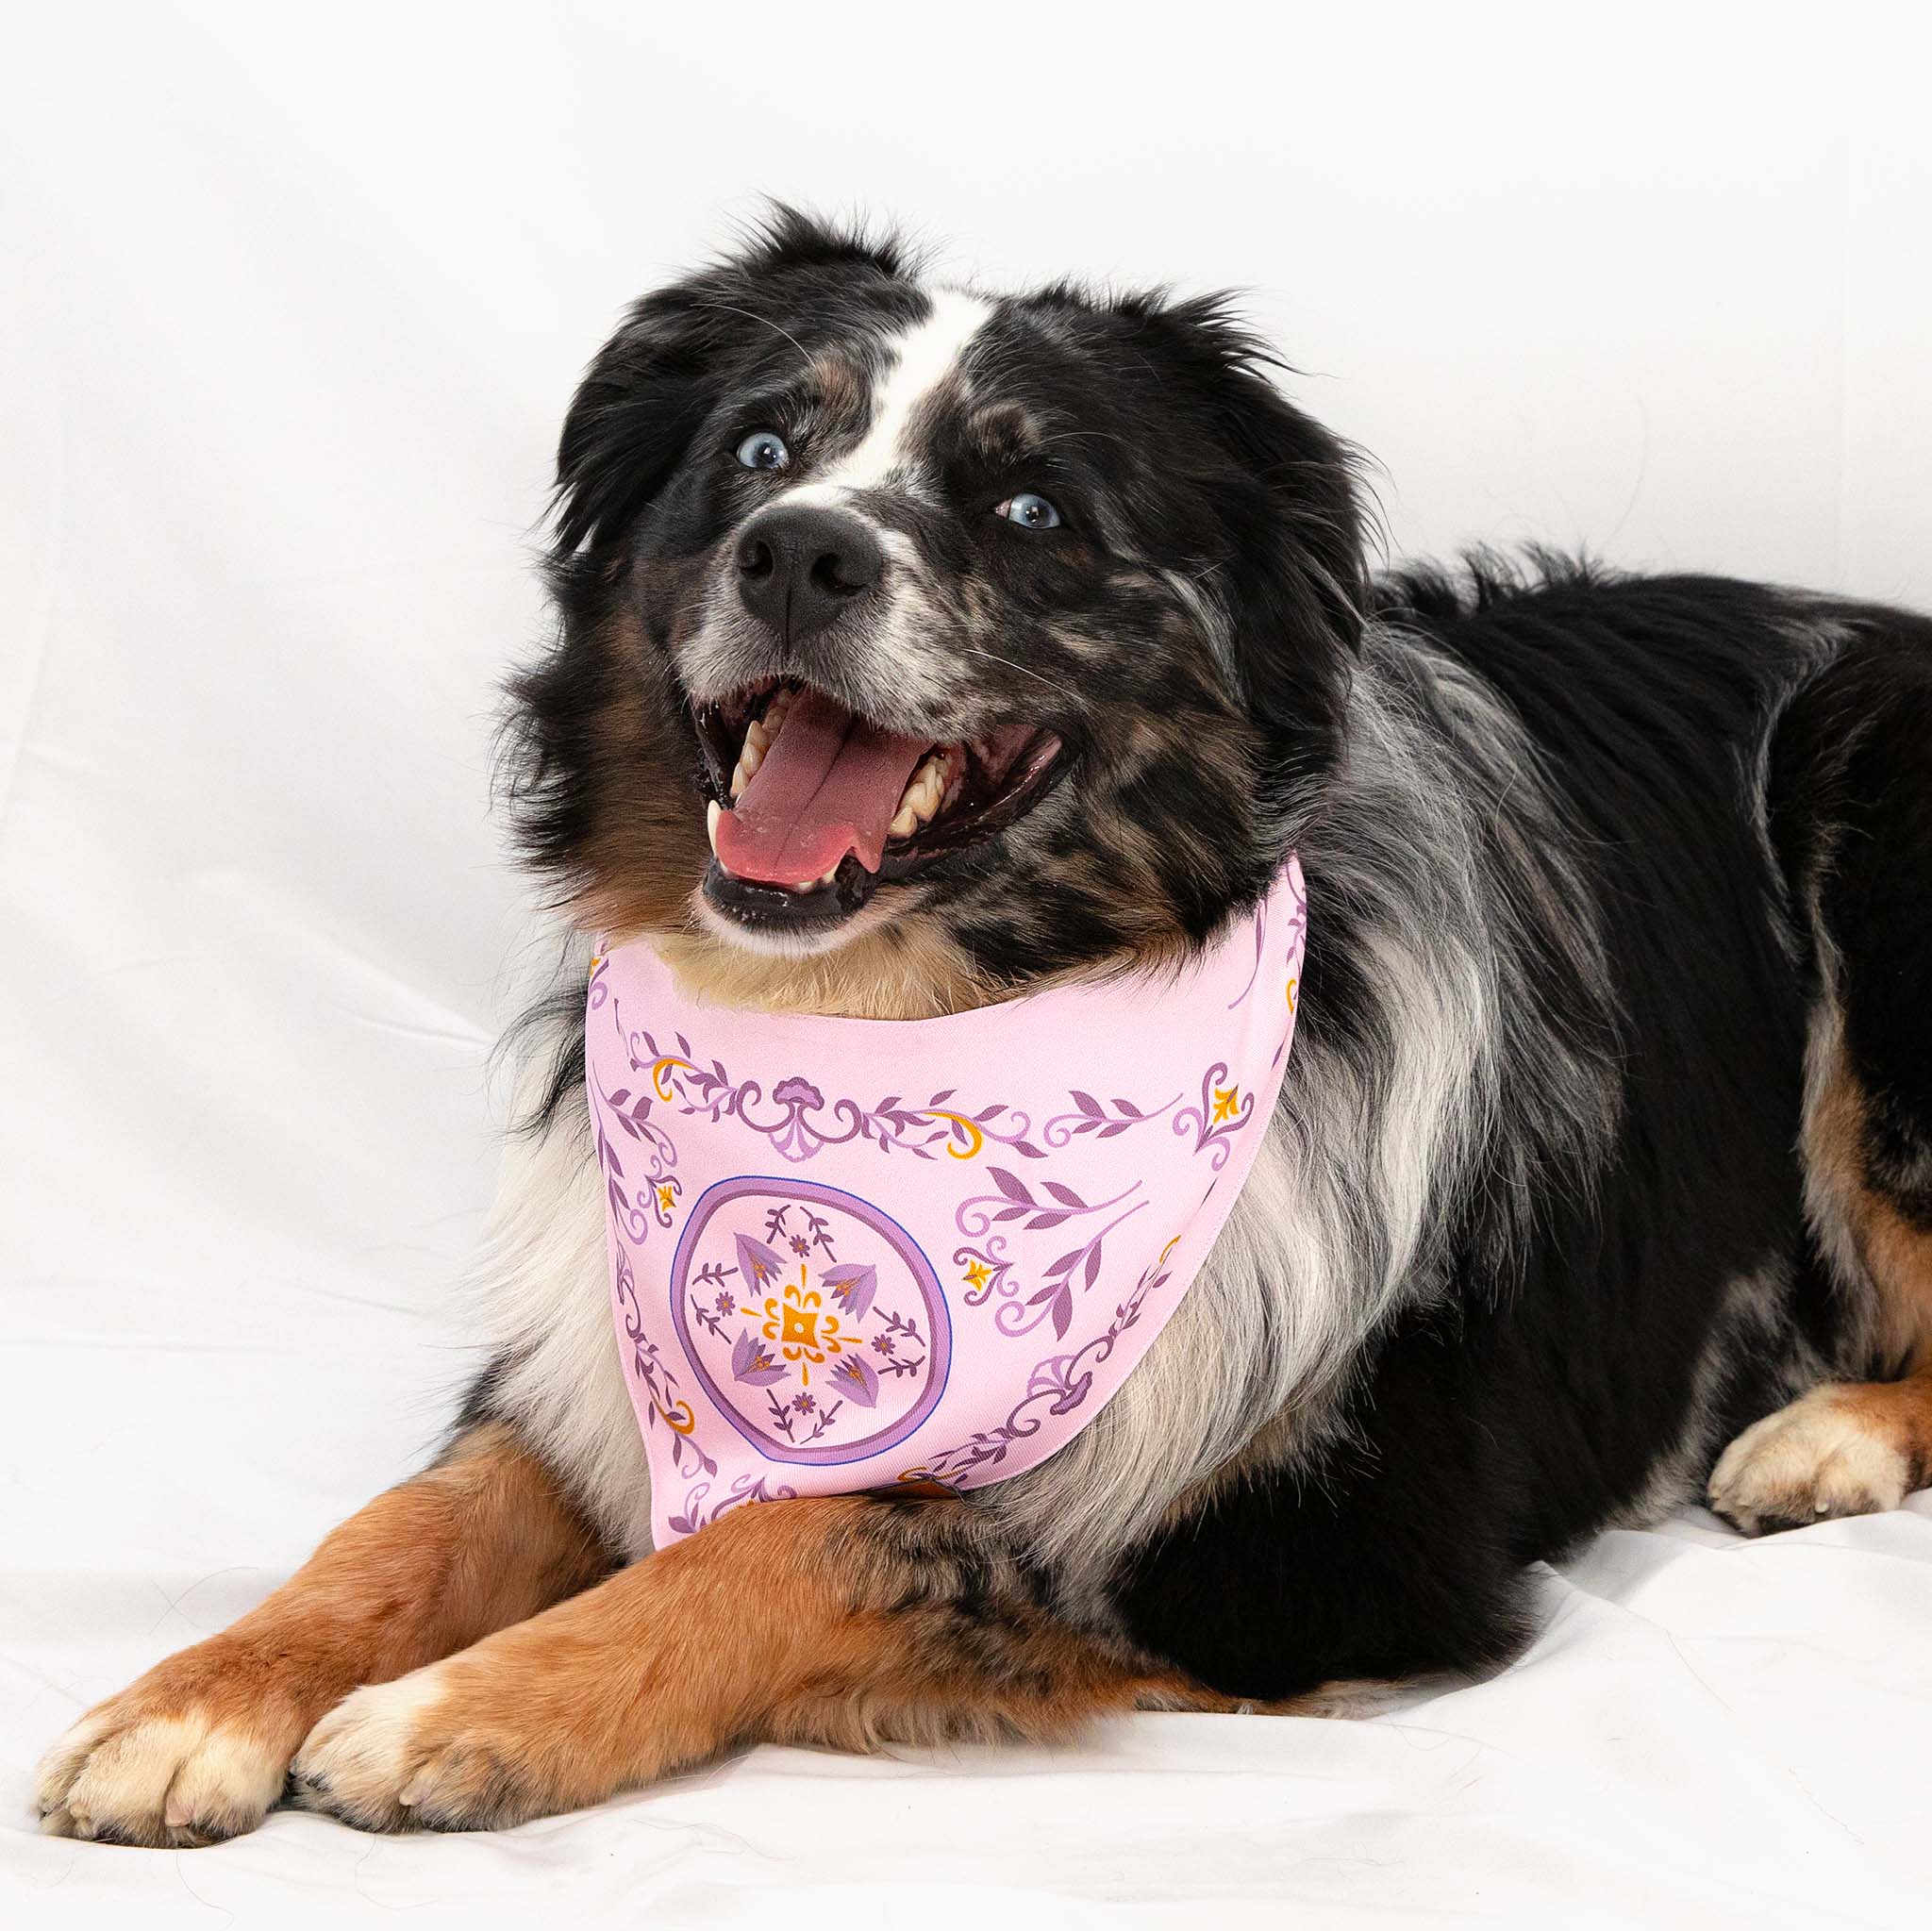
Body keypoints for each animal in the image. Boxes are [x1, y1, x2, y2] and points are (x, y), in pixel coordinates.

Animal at [34, 208, 1932, 1838]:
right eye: (757, 450)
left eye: (1031, 510)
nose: (796, 552)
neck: (895, 1020)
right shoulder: (578, 1357)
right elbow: (402, 1522)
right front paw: (191, 1697)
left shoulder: (1302, 1550)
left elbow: (829, 1530)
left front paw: (457, 1709)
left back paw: (1826, 1433)